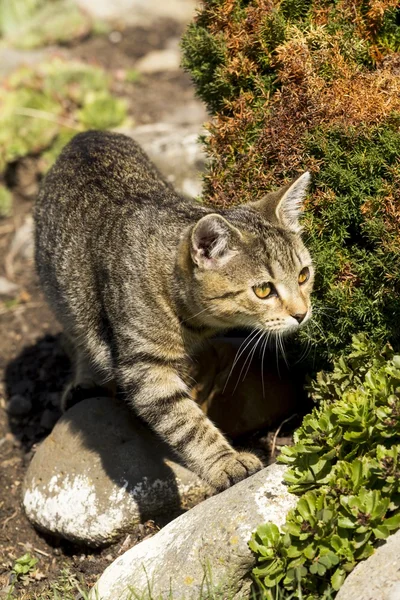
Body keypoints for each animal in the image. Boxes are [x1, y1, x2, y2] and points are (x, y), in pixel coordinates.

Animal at [34, 131, 314, 492]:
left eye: (303, 275)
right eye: (263, 290)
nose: (302, 313)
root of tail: (86, 135)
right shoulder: (146, 367)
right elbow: (187, 422)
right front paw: (225, 461)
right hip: (61, 295)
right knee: (77, 336)